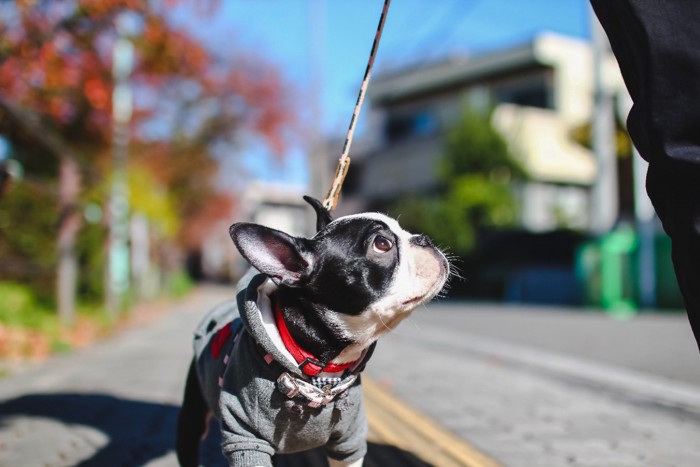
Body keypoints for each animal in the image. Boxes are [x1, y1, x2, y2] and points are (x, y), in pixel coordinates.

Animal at [175, 197, 448, 467]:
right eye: (382, 244)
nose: (424, 238)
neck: (322, 368)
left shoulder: (348, 442)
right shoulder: (245, 439)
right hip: (192, 417)